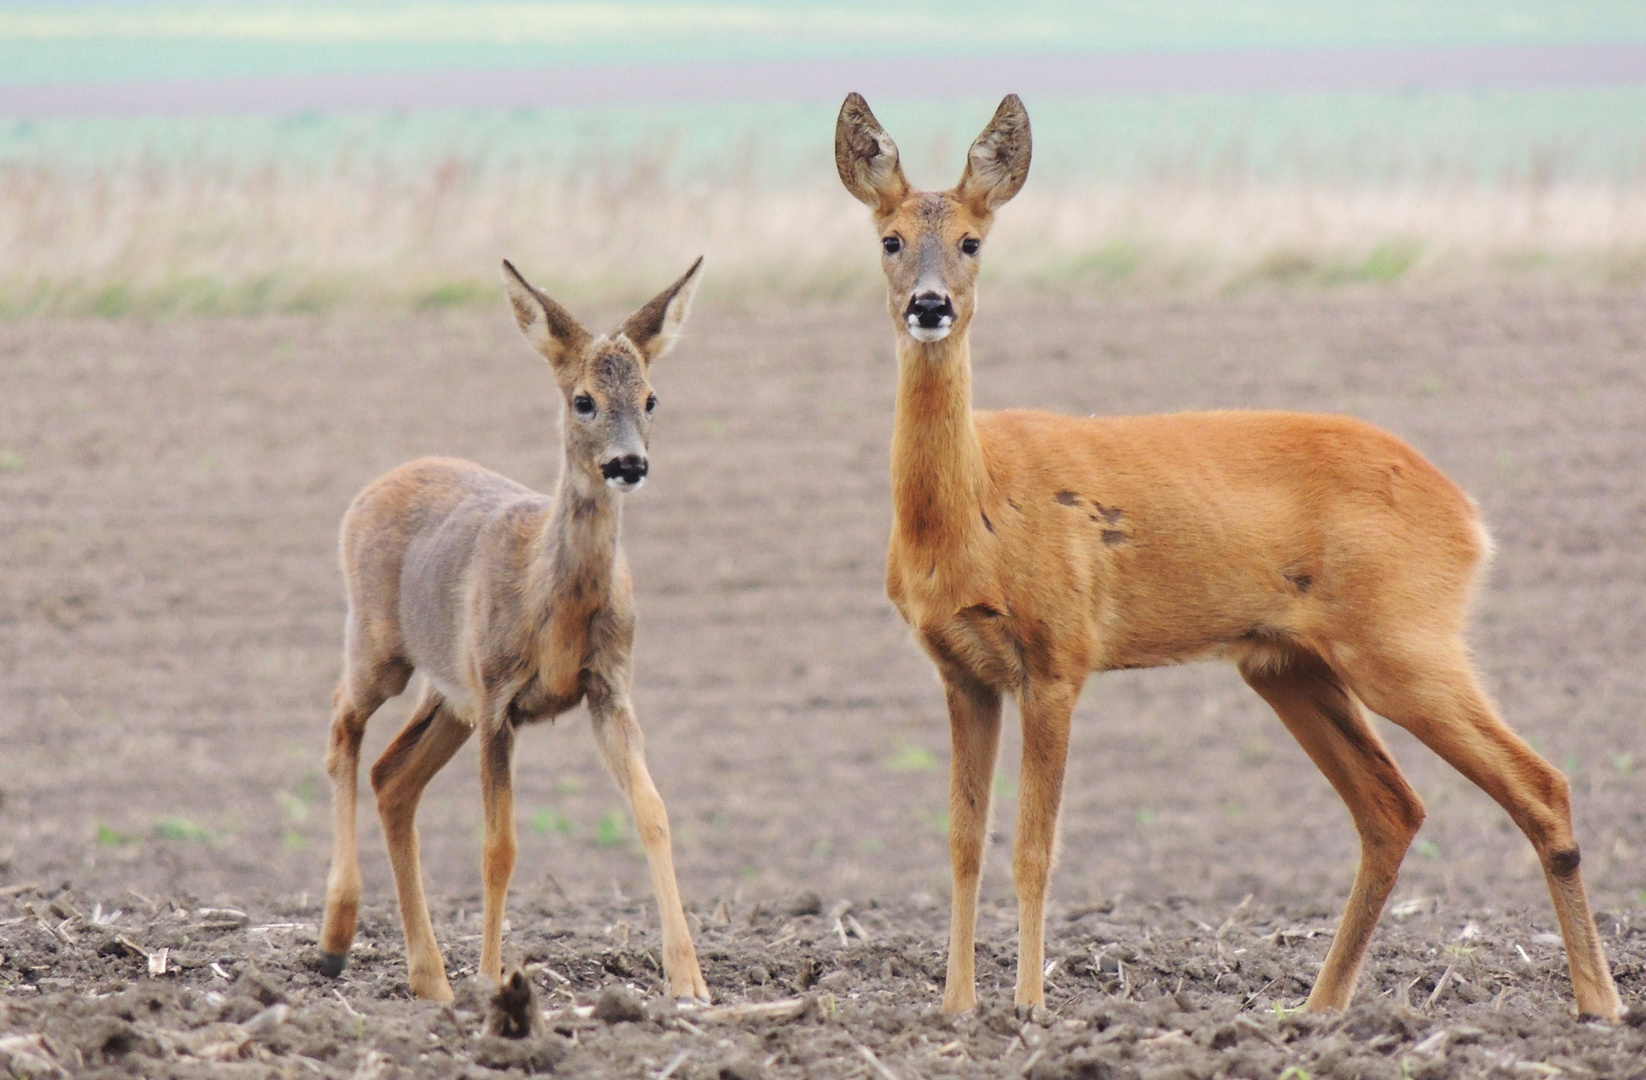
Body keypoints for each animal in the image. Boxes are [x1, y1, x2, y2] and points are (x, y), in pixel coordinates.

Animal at [317, 256, 711, 1000]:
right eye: (582, 400)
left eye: (652, 399)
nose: (629, 464)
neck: (552, 605)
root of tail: (366, 492)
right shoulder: (498, 701)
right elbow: (499, 847)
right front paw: (492, 977)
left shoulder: (608, 688)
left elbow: (654, 813)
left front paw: (690, 982)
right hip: (382, 647)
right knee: (341, 729)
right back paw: (335, 938)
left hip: (449, 695)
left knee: (392, 778)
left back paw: (428, 978)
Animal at [836, 95, 1619, 1020]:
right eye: (889, 238)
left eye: (971, 241)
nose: (929, 307)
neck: (974, 512)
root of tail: (1468, 514)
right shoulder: (963, 670)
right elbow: (963, 843)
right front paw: (956, 1008)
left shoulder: (1060, 655)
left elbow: (1035, 848)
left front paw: (1031, 1008)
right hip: (1287, 664)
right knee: (1393, 810)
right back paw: (1319, 1011)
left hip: (1402, 638)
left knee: (1541, 785)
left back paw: (1597, 1005)